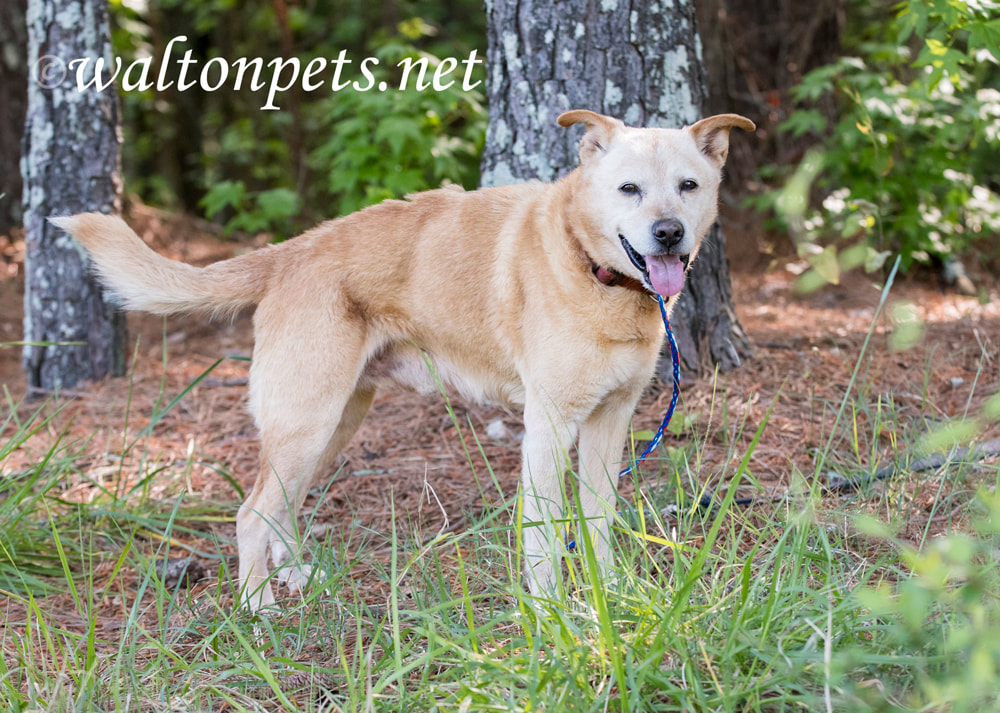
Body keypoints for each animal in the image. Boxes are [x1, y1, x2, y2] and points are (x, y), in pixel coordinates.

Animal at [52, 110, 752, 608]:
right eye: (628, 189)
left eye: (688, 186)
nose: (669, 233)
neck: (595, 271)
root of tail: (289, 251)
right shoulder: (549, 427)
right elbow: (544, 533)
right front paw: (553, 613)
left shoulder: (611, 422)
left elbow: (601, 523)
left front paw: (615, 598)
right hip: (305, 424)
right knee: (252, 515)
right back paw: (258, 611)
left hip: (333, 426)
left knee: (282, 510)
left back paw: (296, 576)